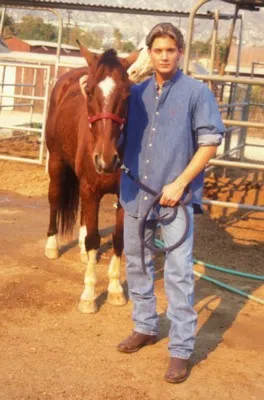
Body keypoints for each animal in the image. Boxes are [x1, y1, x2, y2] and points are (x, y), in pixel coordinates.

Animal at [44, 43, 140, 312]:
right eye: (88, 91)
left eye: (127, 94)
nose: (106, 160)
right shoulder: (89, 189)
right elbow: (95, 239)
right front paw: (88, 296)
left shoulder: (121, 197)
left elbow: (117, 239)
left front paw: (116, 290)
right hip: (56, 162)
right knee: (54, 198)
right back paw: (52, 246)